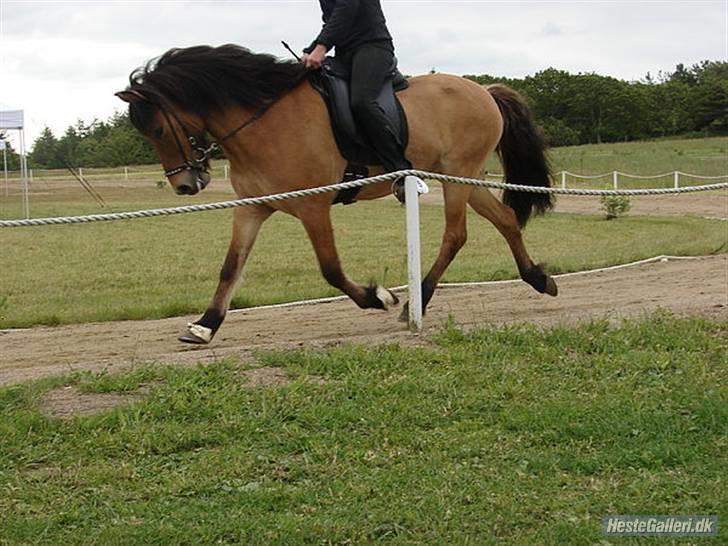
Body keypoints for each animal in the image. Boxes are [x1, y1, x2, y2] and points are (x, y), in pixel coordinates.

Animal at [116, 45, 556, 344]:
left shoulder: (314, 208)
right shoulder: (252, 210)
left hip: (457, 177)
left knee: (455, 235)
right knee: (504, 220)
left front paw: (379, 297)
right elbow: (230, 267)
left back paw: (415, 303)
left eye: (157, 129)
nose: (185, 185)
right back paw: (538, 279)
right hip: (465, 180)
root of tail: (483, 90)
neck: (263, 121)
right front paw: (205, 326)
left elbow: (330, 269)